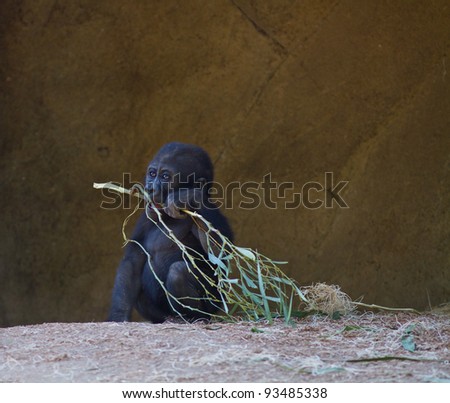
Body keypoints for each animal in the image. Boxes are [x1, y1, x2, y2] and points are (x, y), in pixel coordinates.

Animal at [107, 144, 234, 324]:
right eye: (152, 174)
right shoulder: (146, 216)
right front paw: (118, 315)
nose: (150, 188)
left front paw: (188, 196)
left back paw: (193, 317)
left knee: (178, 272)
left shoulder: (211, 211)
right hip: (160, 314)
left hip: (212, 307)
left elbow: (221, 254)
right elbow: (132, 262)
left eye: (165, 176)